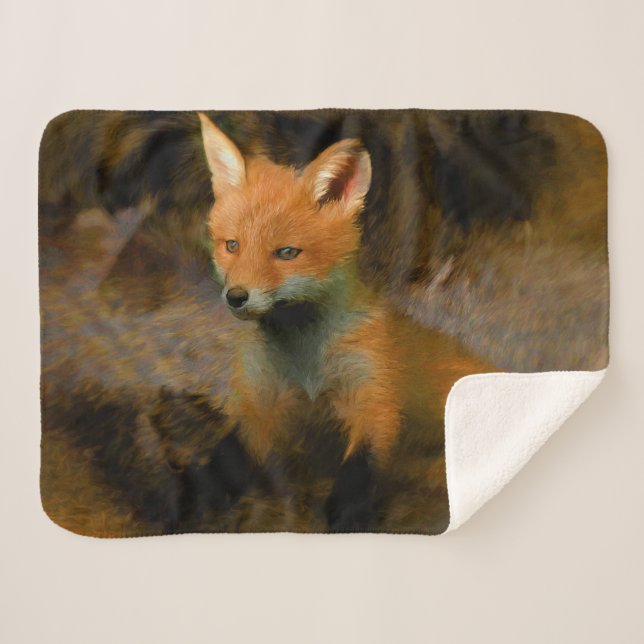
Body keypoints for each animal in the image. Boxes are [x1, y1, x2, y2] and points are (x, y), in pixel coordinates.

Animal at [197, 112, 495, 531]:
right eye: (232, 246)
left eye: (286, 253)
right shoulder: (259, 399)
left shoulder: (375, 396)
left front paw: (348, 516)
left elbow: (359, 466)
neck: (306, 363)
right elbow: (228, 456)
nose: (236, 297)